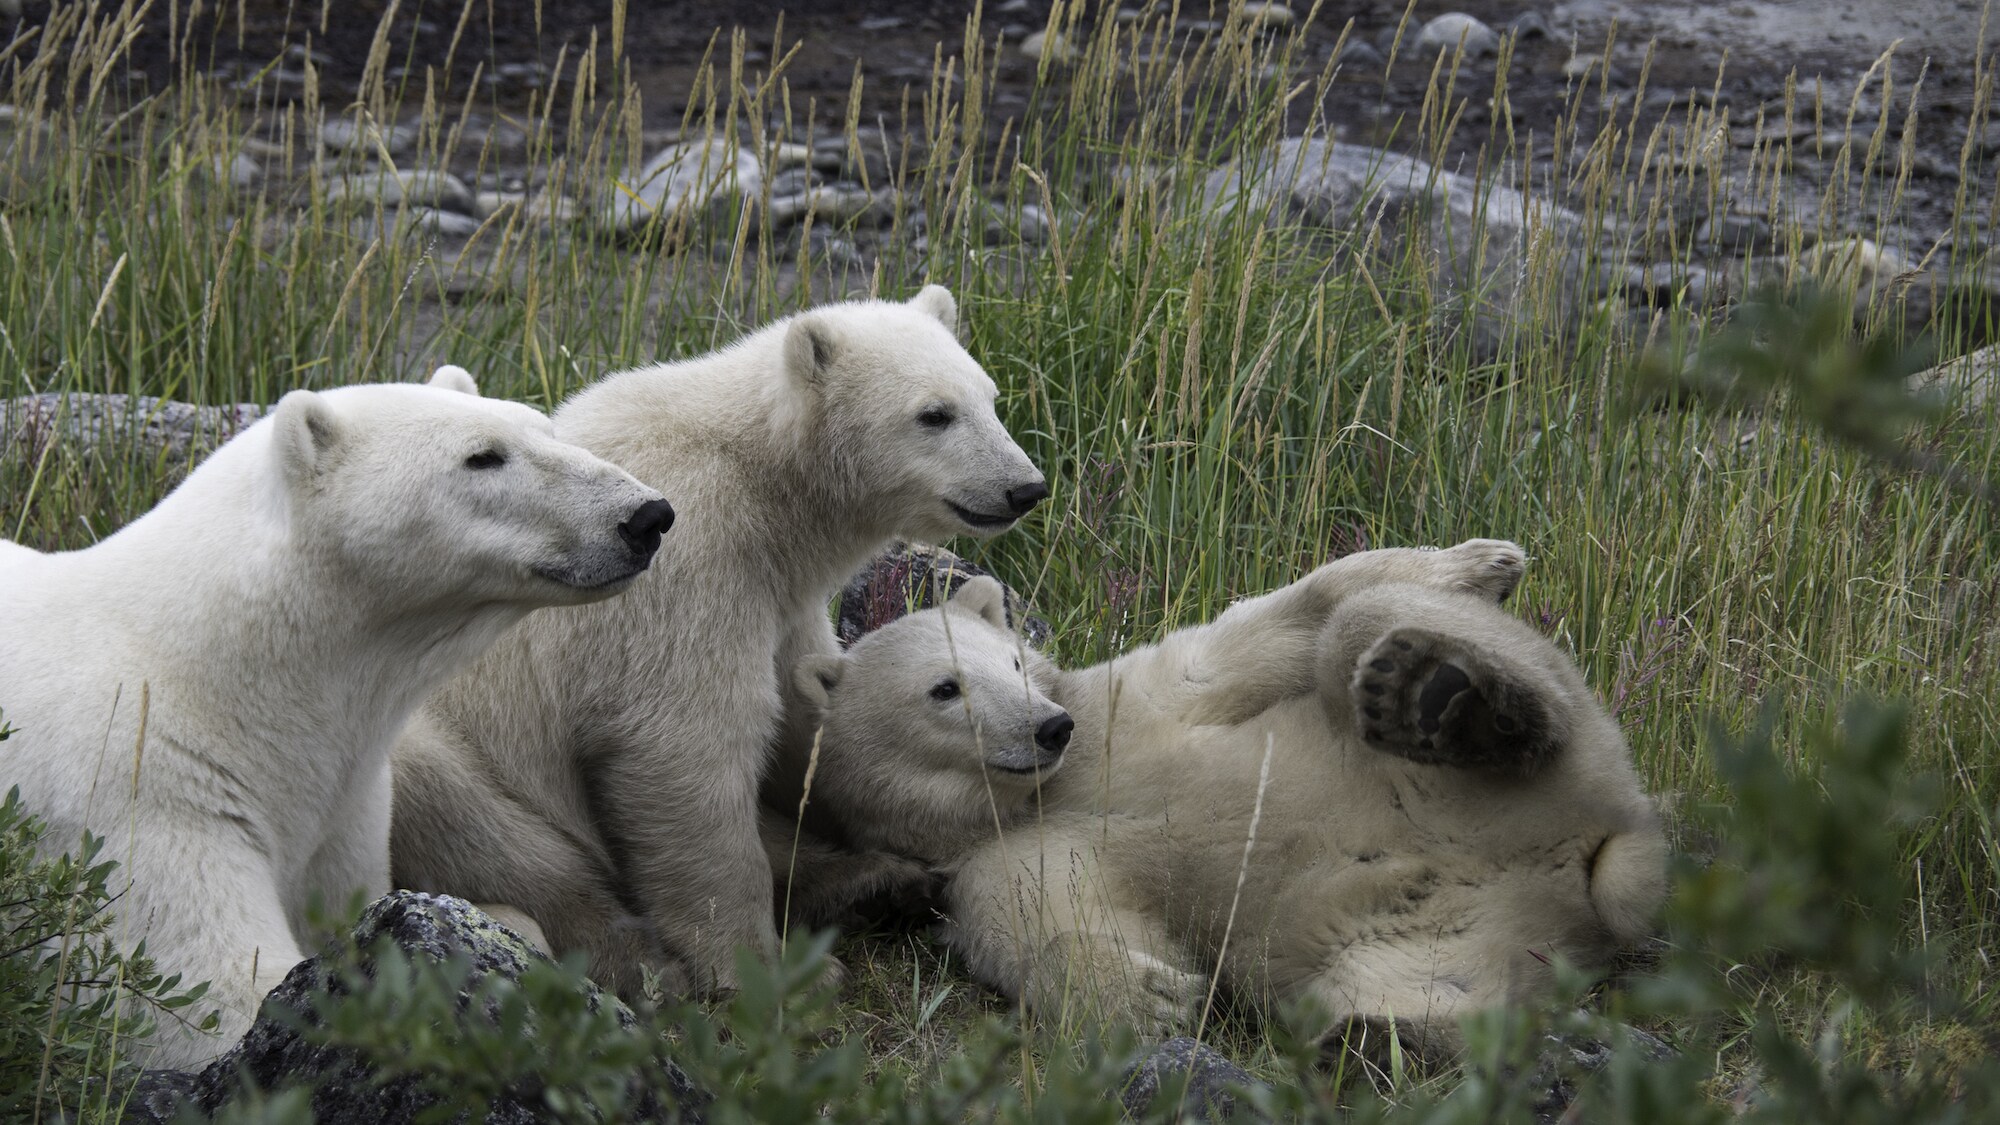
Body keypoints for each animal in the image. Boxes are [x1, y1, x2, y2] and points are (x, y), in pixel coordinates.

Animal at [0, 370, 672, 1064]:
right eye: (483, 456)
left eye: (545, 428)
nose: (647, 516)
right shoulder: (141, 796)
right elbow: (213, 996)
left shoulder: (346, 807)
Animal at [390, 284, 1048, 992]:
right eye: (933, 414)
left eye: (990, 397)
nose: (1026, 487)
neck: (762, 483)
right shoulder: (686, 565)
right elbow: (688, 748)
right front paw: (764, 970)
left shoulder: (781, 598)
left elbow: (807, 716)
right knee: (500, 839)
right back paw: (648, 963)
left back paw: (876, 884)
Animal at [780, 540, 1672, 1048]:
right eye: (944, 687)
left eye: (1014, 659)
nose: (1047, 726)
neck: (1042, 792)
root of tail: (1596, 842)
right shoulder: (989, 861)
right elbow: (1043, 920)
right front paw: (1152, 997)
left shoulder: (1131, 703)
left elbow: (1266, 631)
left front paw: (1484, 560)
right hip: (1455, 935)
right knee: (1390, 994)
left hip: (1564, 744)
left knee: (1365, 629)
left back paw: (1439, 694)